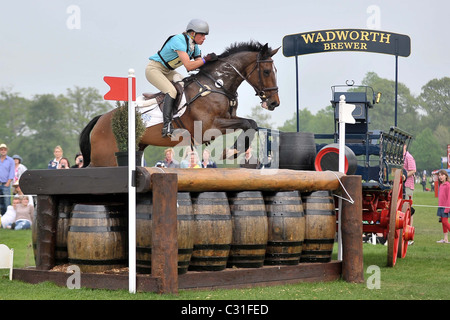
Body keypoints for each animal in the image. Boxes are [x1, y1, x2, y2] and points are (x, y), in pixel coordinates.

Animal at [79, 40, 280, 168]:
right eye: (267, 71)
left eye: (275, 70)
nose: (274, 103)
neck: (217, 84)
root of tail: (100, 119)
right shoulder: (209, 126)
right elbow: (248, 123)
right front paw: (230, 152)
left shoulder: (229, 118)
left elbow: (251, 123)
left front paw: (232, 151)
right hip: (105, 158)